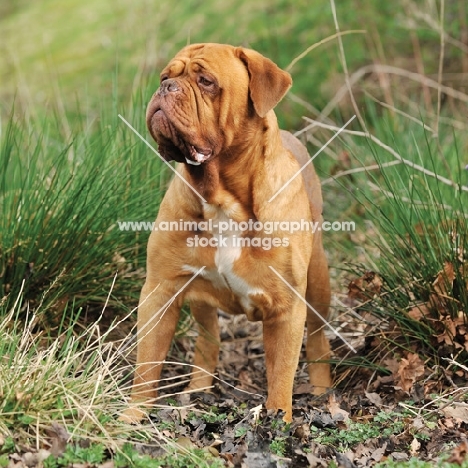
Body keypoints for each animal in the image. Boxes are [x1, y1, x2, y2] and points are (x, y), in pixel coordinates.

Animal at [120, 44, 332, 424]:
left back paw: (323, 389)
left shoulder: (285, 307)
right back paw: (197, 391)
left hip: (319, 281)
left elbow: (281, 373)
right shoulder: (159, 290)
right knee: (208, 339)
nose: (166, 88)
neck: (222, 197)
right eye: (165, 76)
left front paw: (279, 421)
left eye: (206, 82)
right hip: (199, 298)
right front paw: (133, 416)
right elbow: (147, 363)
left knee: (319, 336)